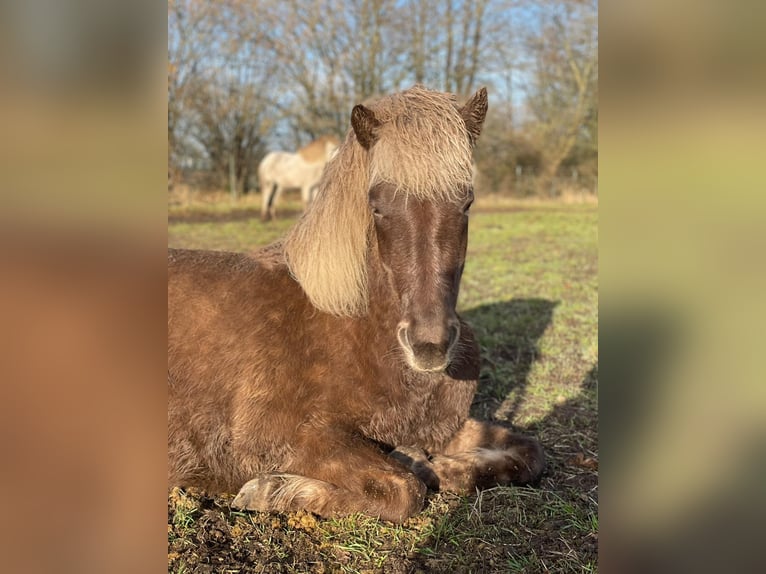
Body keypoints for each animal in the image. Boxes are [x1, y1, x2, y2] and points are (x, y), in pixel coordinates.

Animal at [168, 86, 544, 523]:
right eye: (377, 205)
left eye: (466, 202)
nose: (429, 346)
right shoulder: (285, 439)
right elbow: (403, 489)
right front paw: (273, 491)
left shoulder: (442, 426)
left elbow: (527, 453)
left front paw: (426, 461)